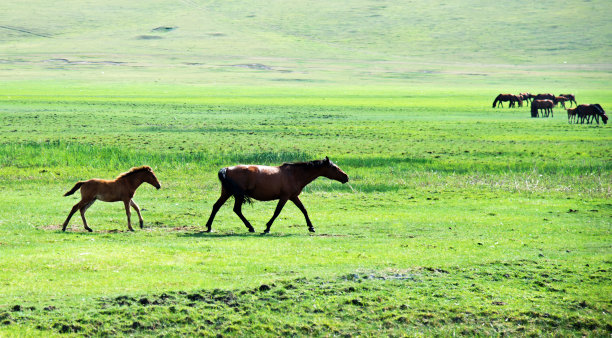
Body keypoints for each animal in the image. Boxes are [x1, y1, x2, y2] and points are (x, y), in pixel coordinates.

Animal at [206, 157, 350, 234]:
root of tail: (227, 169)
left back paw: (209, 227)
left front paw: (311, 227)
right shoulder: (285, 197)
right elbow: (277, 212)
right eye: (334, 168)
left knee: (216, 207)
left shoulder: (293, 197)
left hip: (227, 193)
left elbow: (304, 210)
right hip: (237, 195)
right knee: (236, 210)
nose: (346, 177)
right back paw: (250, 227)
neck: (295, 174)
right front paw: (267, 228)